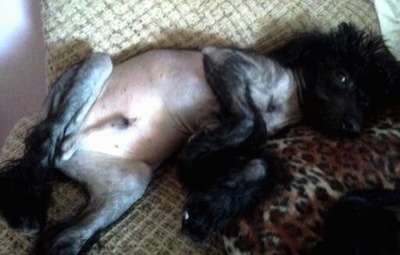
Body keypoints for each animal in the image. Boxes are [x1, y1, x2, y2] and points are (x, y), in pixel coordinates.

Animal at [0, 23, 398, 253]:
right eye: (342, 77)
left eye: (367, 100)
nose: (354, 126)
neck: (288, 102)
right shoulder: (221, 59)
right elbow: (247, 120)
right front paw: (195, 165)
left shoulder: (227, 144)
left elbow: (260, 164)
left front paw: (209, 207)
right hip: (97, 65)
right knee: (46, 138)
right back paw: (26, 204)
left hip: (130, 182)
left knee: (66, 237)